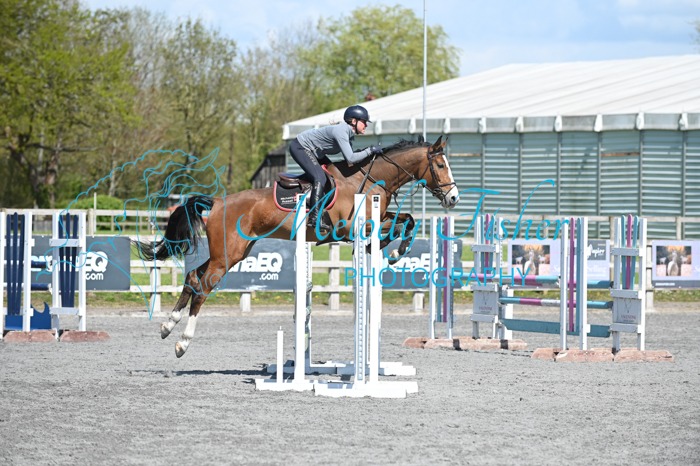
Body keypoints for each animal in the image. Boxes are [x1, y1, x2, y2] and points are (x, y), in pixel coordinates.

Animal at [134, 136, 460, 357]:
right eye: (440, 165)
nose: (454, 198)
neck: (369, 178)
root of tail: (216, 202)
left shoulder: (378, 219)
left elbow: (407, 220)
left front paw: (394, 252)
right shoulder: (351, 228)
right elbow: (396, 226)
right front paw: (390, 250)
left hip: (232, 253)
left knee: (192, 278)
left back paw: (167, 326)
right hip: (226, 256)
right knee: (203, 288)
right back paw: (182, 342)